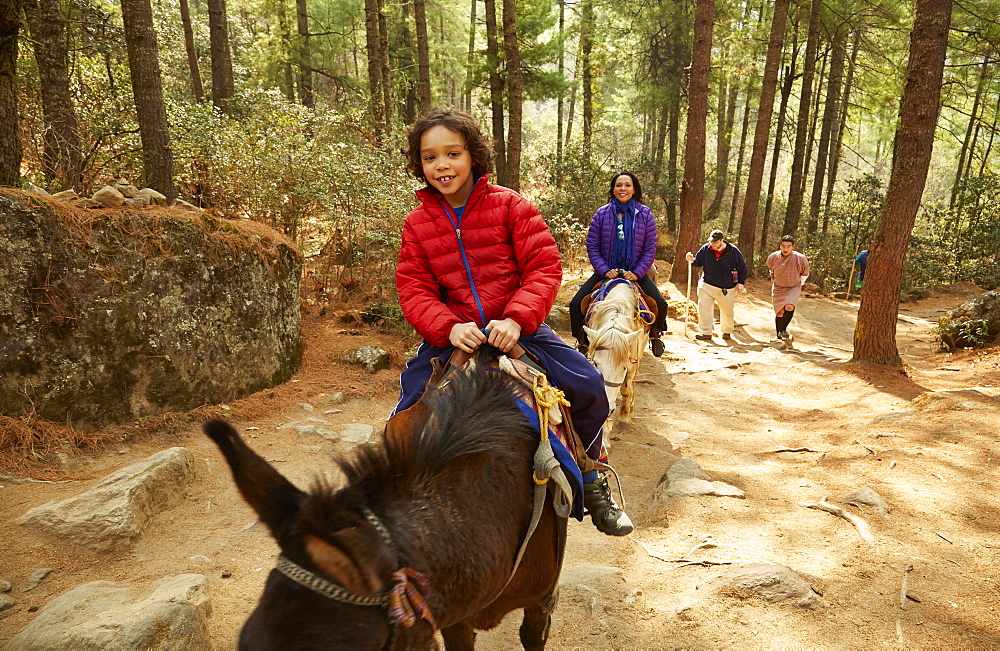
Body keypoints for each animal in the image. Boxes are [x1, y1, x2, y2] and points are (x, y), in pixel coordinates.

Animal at [584, 280, 652, 448]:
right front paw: (604, 439)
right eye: (595, 364)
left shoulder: (632, 363)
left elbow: (626, 389)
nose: (608, 408)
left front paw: (624, 419)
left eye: (623, 368)